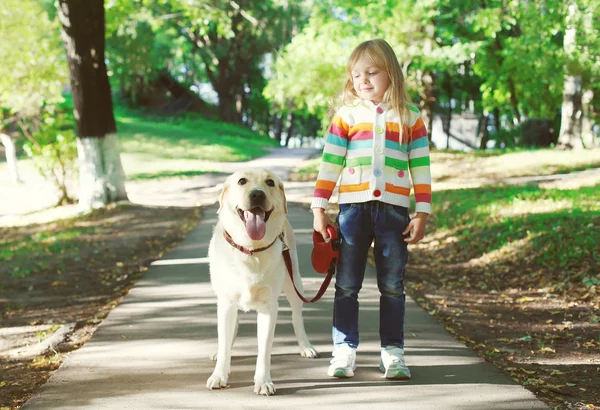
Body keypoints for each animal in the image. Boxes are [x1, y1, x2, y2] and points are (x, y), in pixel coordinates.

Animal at [206, 168, 318, 396]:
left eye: (270, 182)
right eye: (241, 181)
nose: (257, 194)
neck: (250, 249)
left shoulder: (268, 308)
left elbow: (264, 349)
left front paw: (263, 381)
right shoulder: (226, 302)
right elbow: (224, 341)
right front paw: (219, 374)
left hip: (294, 282)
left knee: (297, 317)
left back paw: (305, 346)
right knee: (229, 330)